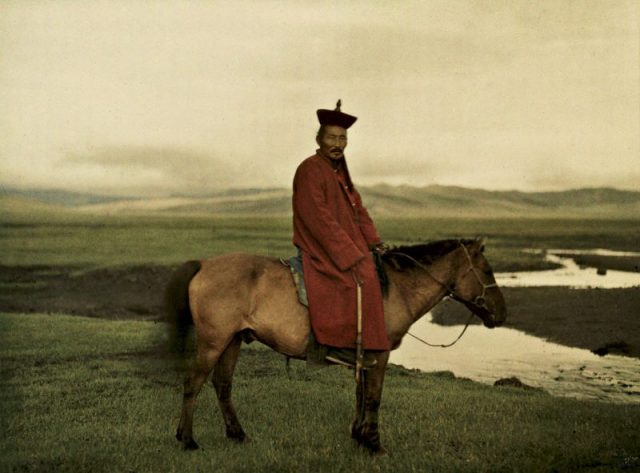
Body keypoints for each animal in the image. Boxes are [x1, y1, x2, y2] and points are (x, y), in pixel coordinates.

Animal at [165, 238, 504, 452]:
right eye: (487, 271)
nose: (501, 313)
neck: (395, 289)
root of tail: (204, 264)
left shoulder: (365, 356)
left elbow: (361, 395)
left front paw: (358, 436)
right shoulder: (380, 355)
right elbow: (374, 398)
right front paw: (374, 444)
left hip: (232, 341)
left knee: (222, 385)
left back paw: (238, 435)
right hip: (213, 341)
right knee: (193, 383)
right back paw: (187, 439)